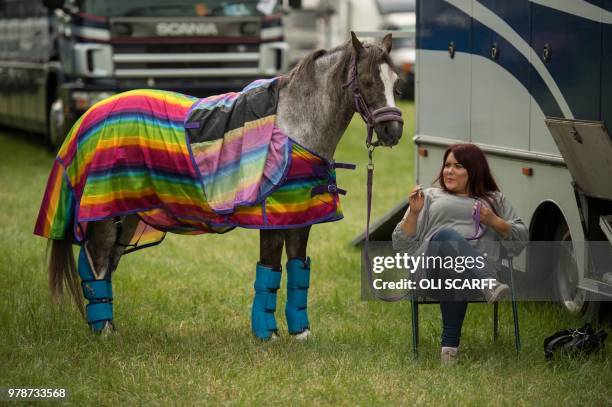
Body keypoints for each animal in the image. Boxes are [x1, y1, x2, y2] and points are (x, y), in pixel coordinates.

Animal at [35, 31, 404, 340]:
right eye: (367, 81)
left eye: (397, 83)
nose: (393, 131)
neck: (293, 128)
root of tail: (89, 115)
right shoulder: (271, 220)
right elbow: (269, 270)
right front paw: (267, 335)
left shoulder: (300, 219)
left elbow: (298, 270)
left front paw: (301, 335)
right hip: (105, 213)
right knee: (97, 262)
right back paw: (105, 333)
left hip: (126, 213)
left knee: (104, 263)